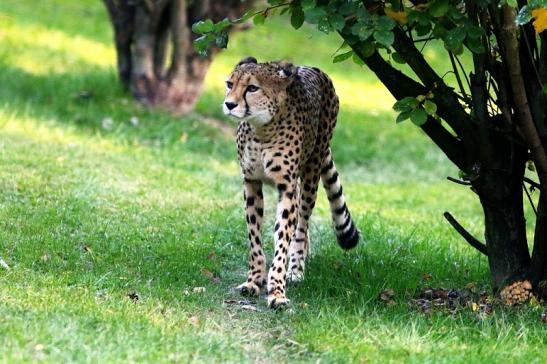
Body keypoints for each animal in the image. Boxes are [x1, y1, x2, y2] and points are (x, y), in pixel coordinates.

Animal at [223, 56, 360, 308]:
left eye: (252, 88)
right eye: (230, 84)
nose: (229, 104)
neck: (262, 129)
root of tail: (314, 68)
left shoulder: (286, 187)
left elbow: (283, 237)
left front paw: (277, 290)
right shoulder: (251, 182)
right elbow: (254, 238)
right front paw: (254, 280)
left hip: (310, 173)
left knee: (302, 224)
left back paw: (296, 269)